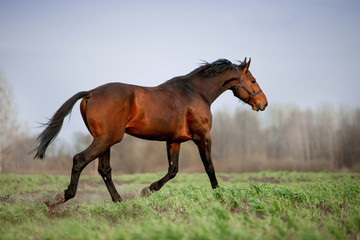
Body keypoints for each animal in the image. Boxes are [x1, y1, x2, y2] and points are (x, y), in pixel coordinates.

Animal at [33, 58, 268, 206]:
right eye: (253, 80)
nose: (263, 103)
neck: (196, 93)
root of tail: (90, 93)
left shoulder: (173, 141)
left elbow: (173, 170)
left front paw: (148, 190)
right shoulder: (203, 137)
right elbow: (209, 167)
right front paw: (219, 194)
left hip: (105, 141)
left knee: (104, 169)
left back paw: (119, 202)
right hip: (106, 140)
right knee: (79, 160)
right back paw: (62, 197)